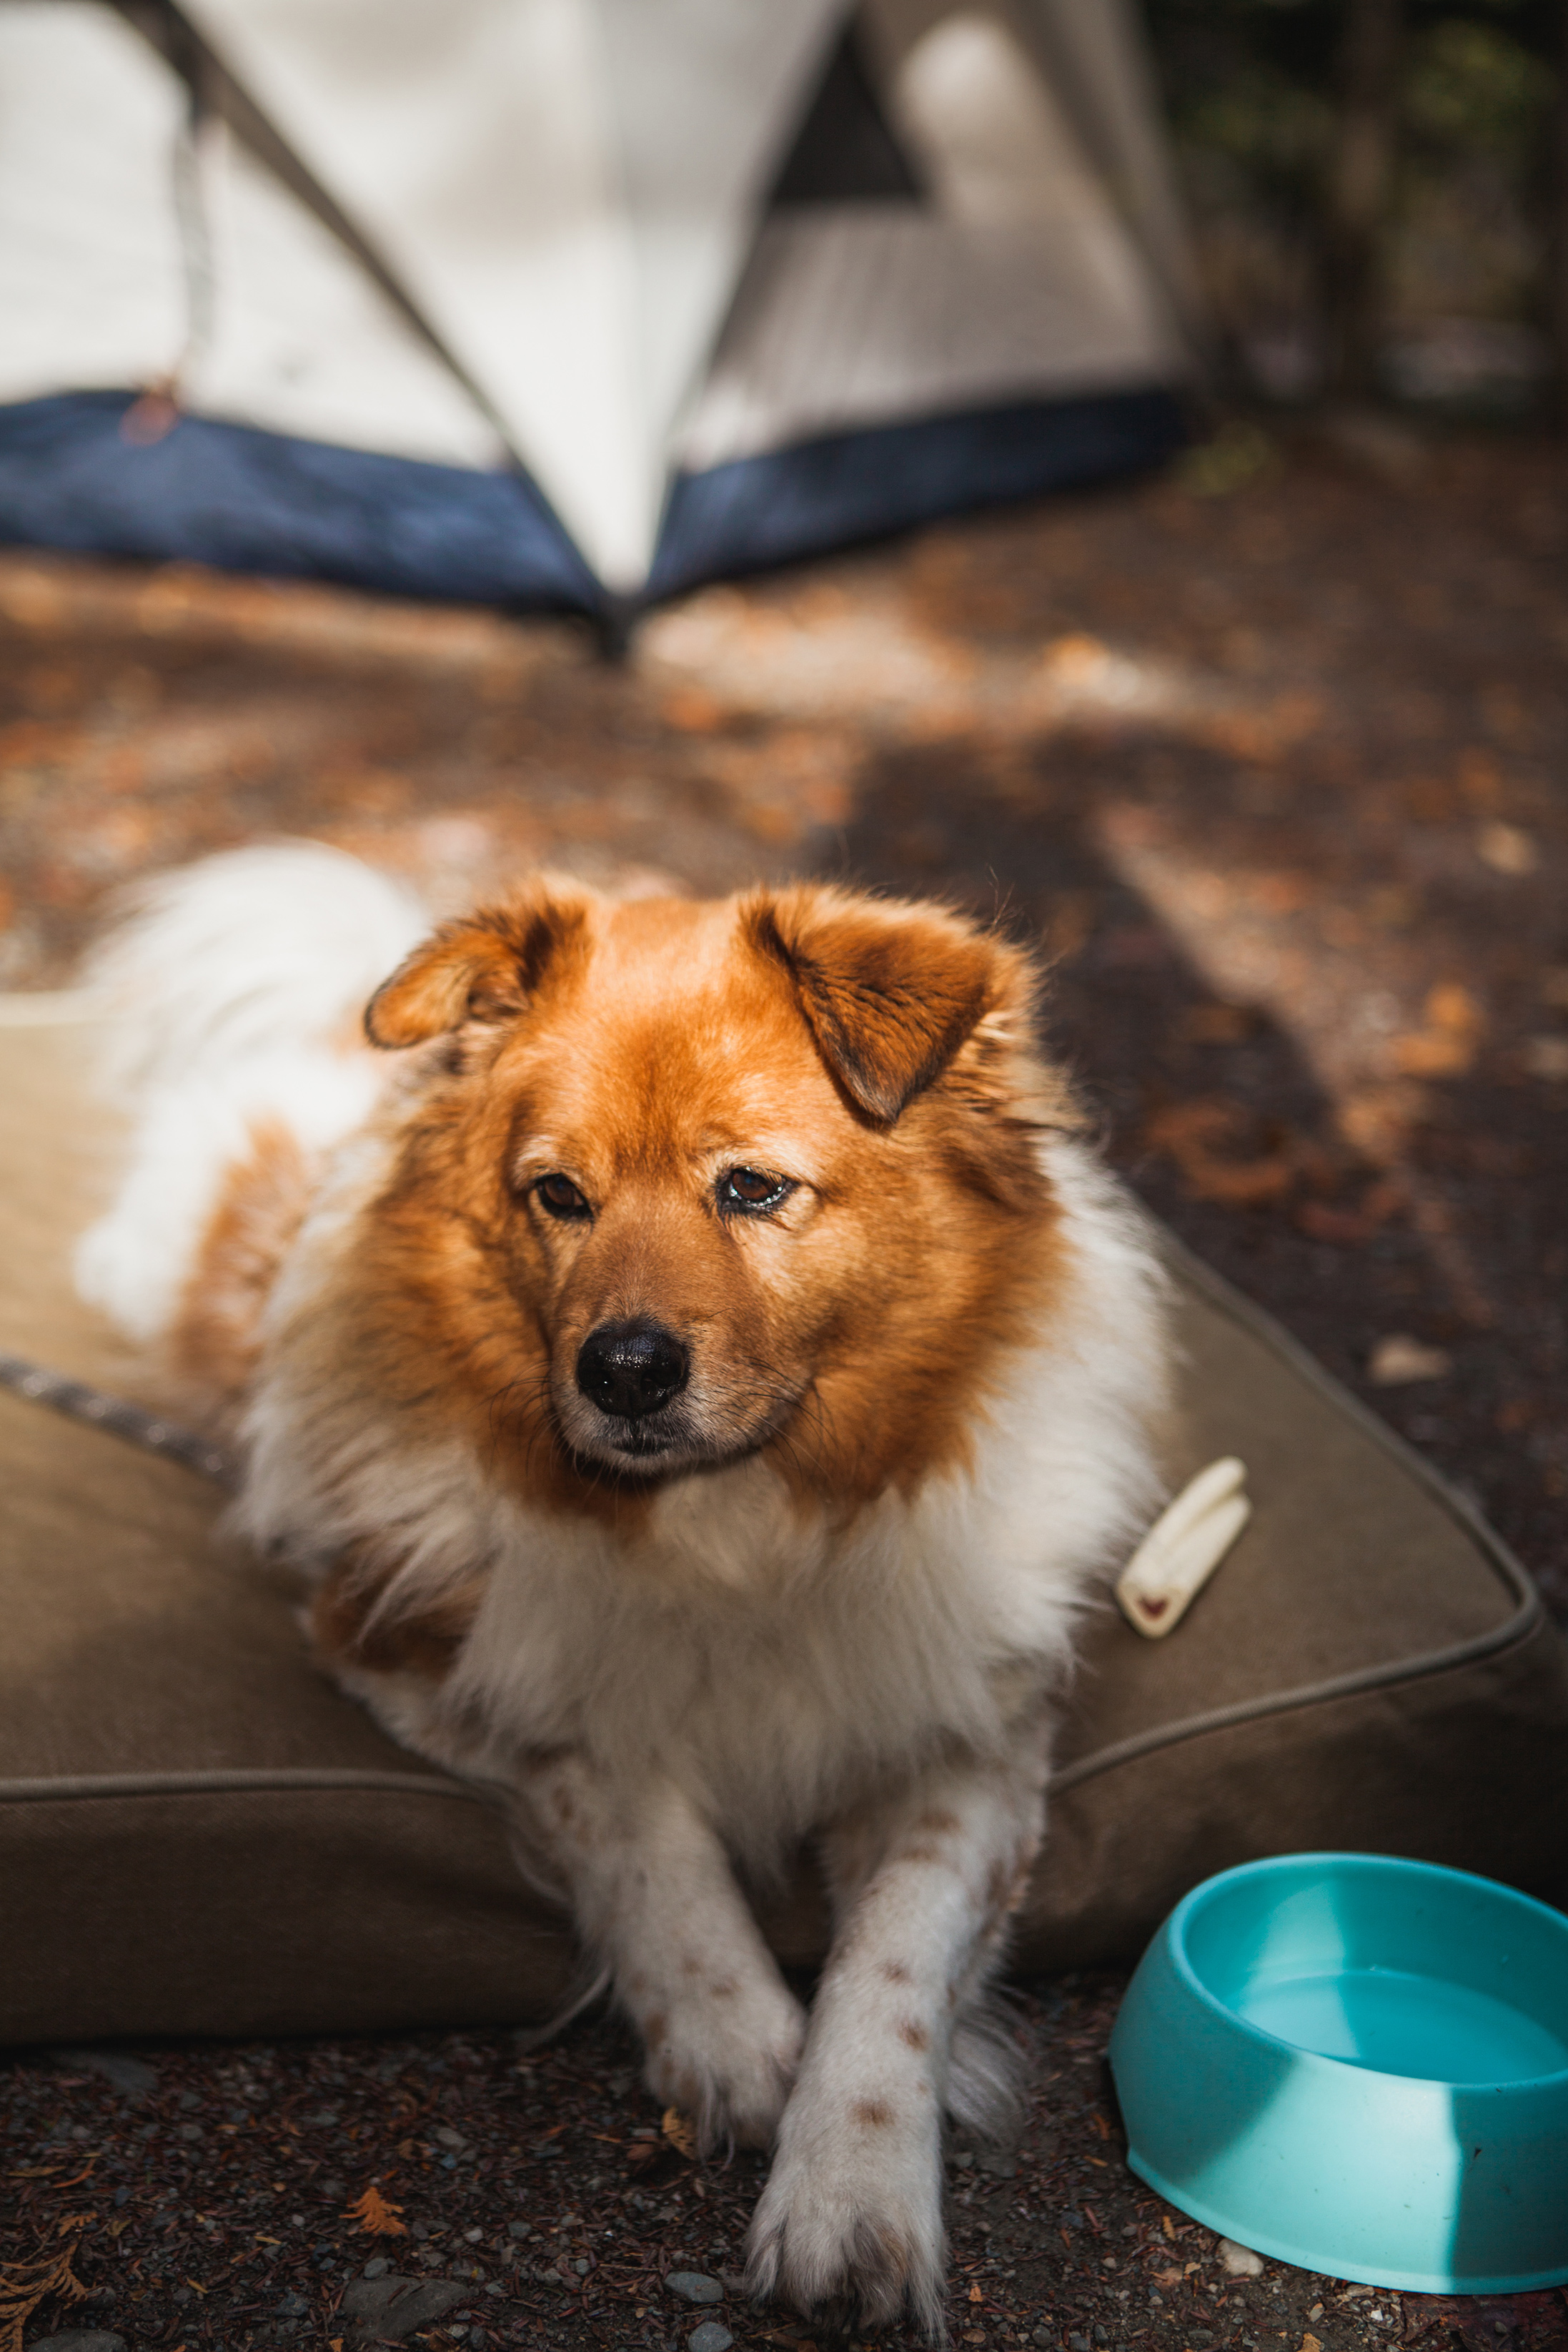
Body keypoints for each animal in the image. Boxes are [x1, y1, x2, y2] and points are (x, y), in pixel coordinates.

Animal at [79, 846, 1171, 2333]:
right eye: (558, 1196)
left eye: (752, 1190)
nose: (624, 1372)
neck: (737, 1526)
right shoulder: (423, 1647)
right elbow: (643, 1831)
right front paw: (738, 2044)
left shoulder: (972, 1740)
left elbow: (890, 1963)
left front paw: (851, 2196)